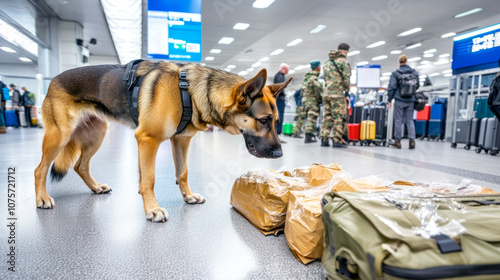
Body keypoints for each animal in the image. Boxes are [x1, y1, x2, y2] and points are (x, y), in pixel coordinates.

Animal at [34, 61, 292, 223]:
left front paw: (188, 196)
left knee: (81, 165)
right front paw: (152, 209)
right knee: (40, 169)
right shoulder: (148, 140)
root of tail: (54, 80)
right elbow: (149, 179)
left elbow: (182, 173)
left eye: (276, 121)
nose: (279, 155)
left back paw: (96, 187)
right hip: (59, 136)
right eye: (264, 120)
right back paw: (42, 198)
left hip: (96, 135)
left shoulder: (181, 141)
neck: (189, 92)